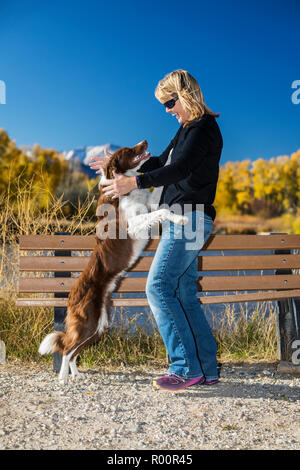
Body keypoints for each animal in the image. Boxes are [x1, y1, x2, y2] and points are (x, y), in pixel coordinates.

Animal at [38, 140, 186, 382]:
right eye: (129, 151)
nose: (144, 142)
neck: (122, 189)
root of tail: (70, 295)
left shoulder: (148, 206)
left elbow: (158, 200)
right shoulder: (133, 224)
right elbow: (162, 211)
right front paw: (181, 218)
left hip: (100, 326)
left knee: (74, 351)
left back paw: (76, 374)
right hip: (88, 322)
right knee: (67, 348)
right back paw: (63, 378)